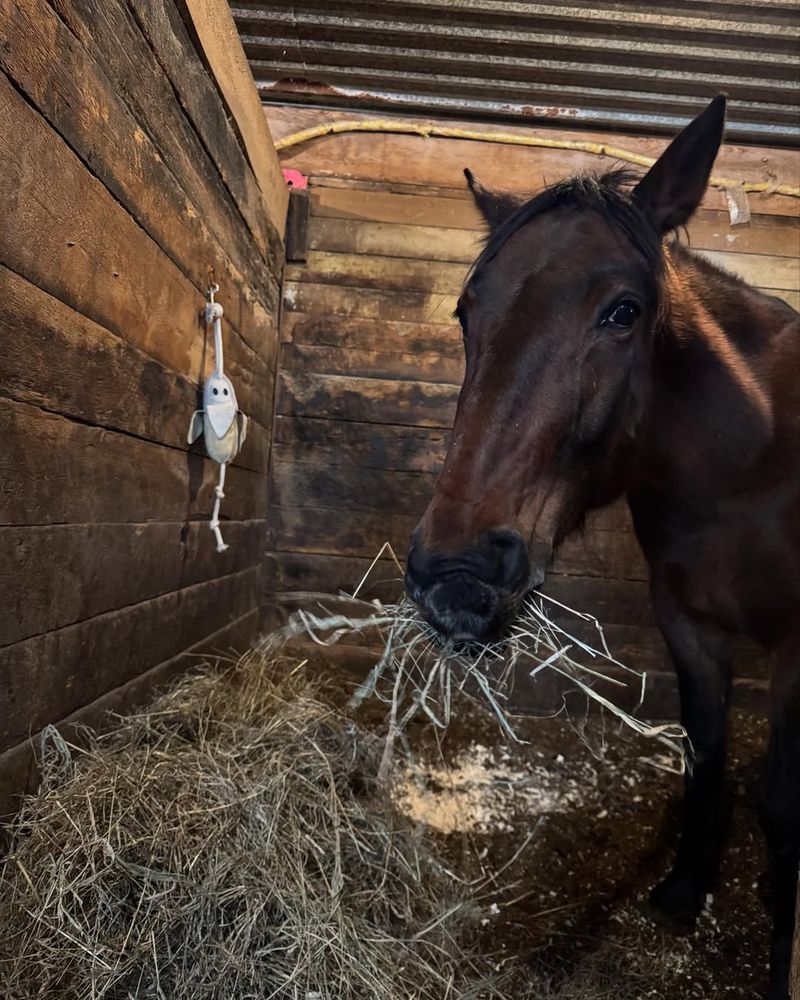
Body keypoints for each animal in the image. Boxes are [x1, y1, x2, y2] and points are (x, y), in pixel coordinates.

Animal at [406, 95, 800, 1000]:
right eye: (467, 313)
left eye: (623, 311)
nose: (457, 575)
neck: (751, 462)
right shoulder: (687, 625)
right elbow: (705, 755)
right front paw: (686, 888)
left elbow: (779, 796)